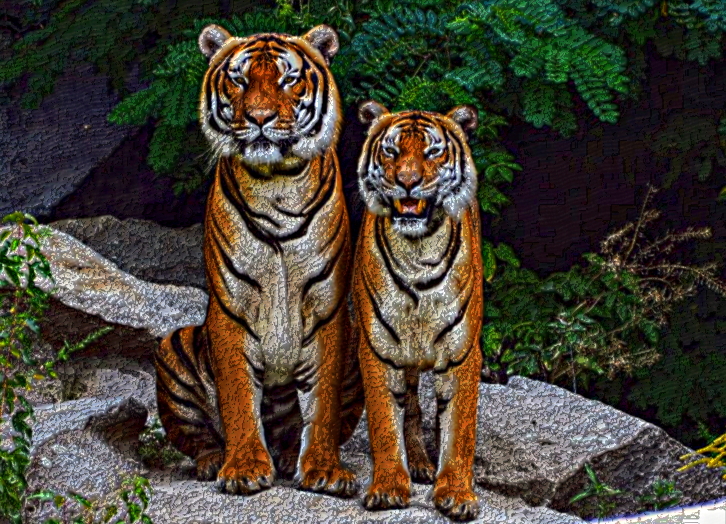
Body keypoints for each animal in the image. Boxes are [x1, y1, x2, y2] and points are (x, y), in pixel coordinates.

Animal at [153, 24, 363, 499]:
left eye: (288, 79)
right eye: (239, 79)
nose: (260, 118)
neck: (277, 184)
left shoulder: (327, 309)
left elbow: (322, 405)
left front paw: (324, 469)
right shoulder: (232, 308)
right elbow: (236, 395)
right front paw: (245, 468)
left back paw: (288, 455)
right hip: (175, 344)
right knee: (197, 438)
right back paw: (214, 461)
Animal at [351, 101, 484, 521]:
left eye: (432, 152)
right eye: (391, 152)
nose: (407, 182)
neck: (417, 252)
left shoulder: (462, 354)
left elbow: (459, 431)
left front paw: (456, 494)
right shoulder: (378, 350)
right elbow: (384, 423)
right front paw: (389, 487)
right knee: (410, 407)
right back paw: (421, 464)